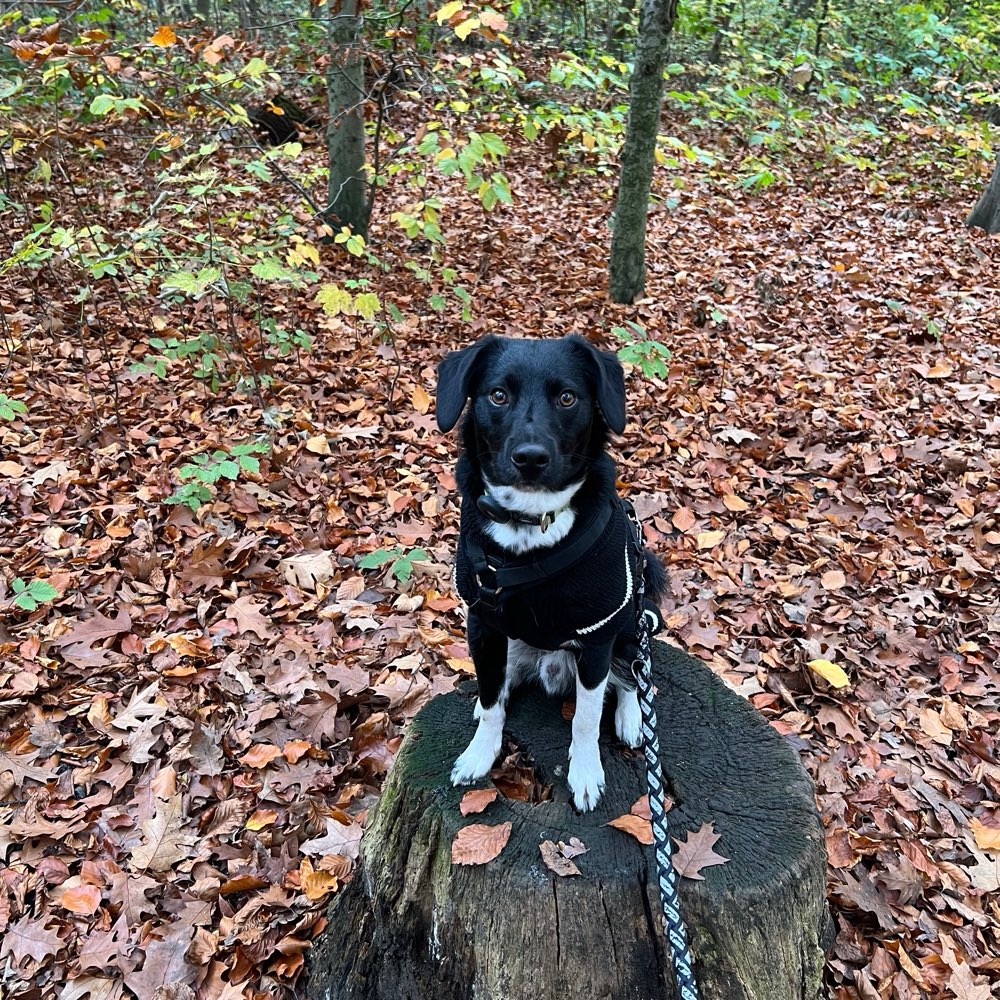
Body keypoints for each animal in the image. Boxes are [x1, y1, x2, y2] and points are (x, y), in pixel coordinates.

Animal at [436, 336, 664, 812]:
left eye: (567, 398)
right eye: (497, 395)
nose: (530, 458)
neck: (530, 521)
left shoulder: (597, 638)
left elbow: (586, 718)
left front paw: (586, 774)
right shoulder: (482, 624)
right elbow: (490, 703)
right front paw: (479, 753)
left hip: (631, 621)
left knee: (633, 674)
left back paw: (633, 719)